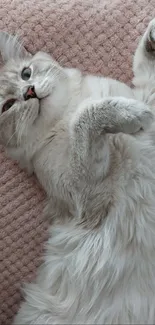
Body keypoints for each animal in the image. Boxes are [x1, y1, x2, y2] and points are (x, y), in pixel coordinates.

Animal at [0, 18, 155, 324]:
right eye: (9, 106)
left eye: (26, 73)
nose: (29, 92)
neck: (64, 114)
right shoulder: (90, 197)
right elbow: (87, 117)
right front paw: (131, 115)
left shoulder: (147, 96)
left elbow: (144, 66)